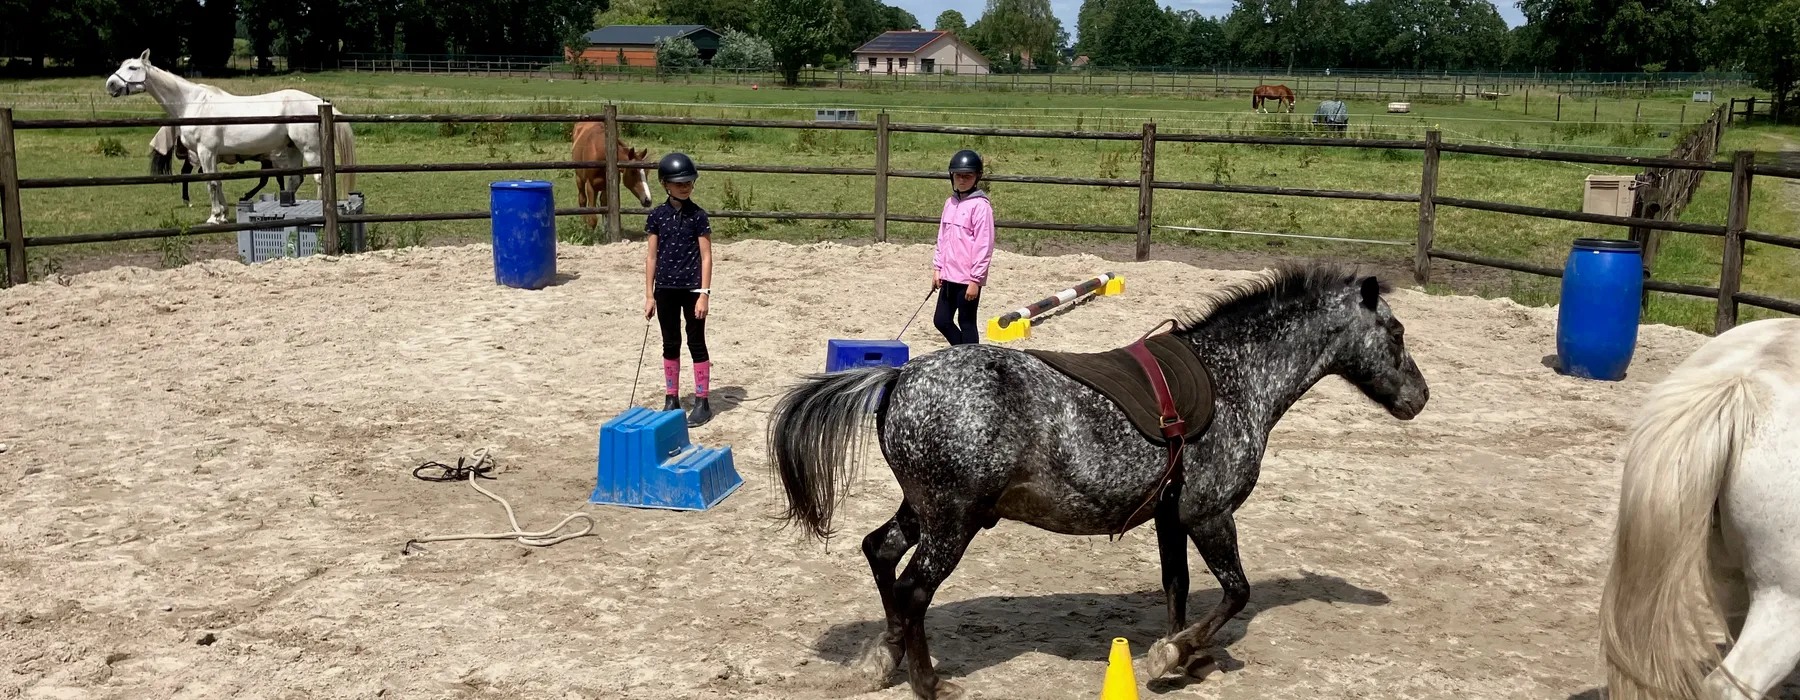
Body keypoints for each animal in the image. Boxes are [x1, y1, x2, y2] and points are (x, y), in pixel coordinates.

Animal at [149, 125, 282, 205]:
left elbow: (267, 180)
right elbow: (270, 180)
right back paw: (187, 200)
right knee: (187, 172)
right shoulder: (269, 160)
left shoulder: (267, 160)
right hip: (193, 156)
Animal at [766, 264, 1430, 700]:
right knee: (912, 590)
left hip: (925, 511)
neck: (1234, 378)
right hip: (953, 522)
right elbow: (1236, 592)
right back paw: (929, 683)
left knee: (880, 554)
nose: (1419, 399)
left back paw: (886, 661)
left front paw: (1181, 658)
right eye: (1397, 333)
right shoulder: (1210, 516)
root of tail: (898, 379)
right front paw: (1174, 655)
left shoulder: (1171, 518)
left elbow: (1176, 588)